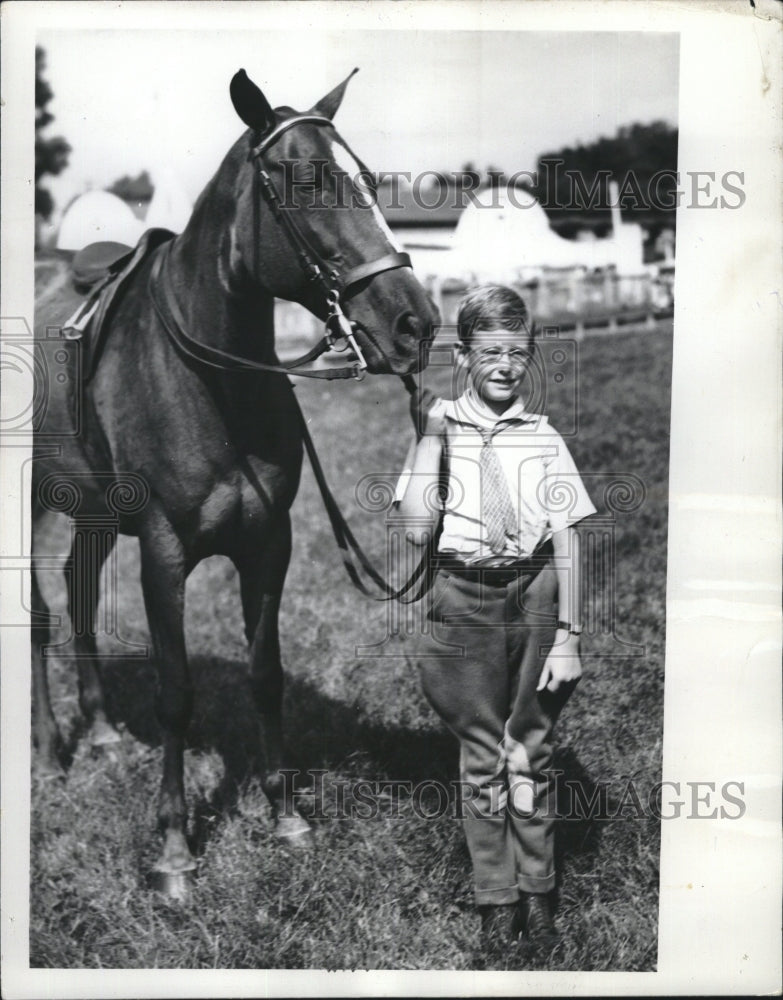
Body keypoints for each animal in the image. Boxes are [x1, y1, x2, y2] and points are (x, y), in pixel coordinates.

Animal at [32, 70, 440, 892]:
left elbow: (265, 673)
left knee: (79, 591)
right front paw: (173, 847)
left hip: (91, 513)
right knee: (37, 618)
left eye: (368, 179)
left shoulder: (267, 545)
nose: (414, 323)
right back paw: (50, 752)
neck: (209, 379)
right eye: (307, 180)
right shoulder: (163, 554)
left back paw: (101, 734)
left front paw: (284, 813)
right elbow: (177, 694)